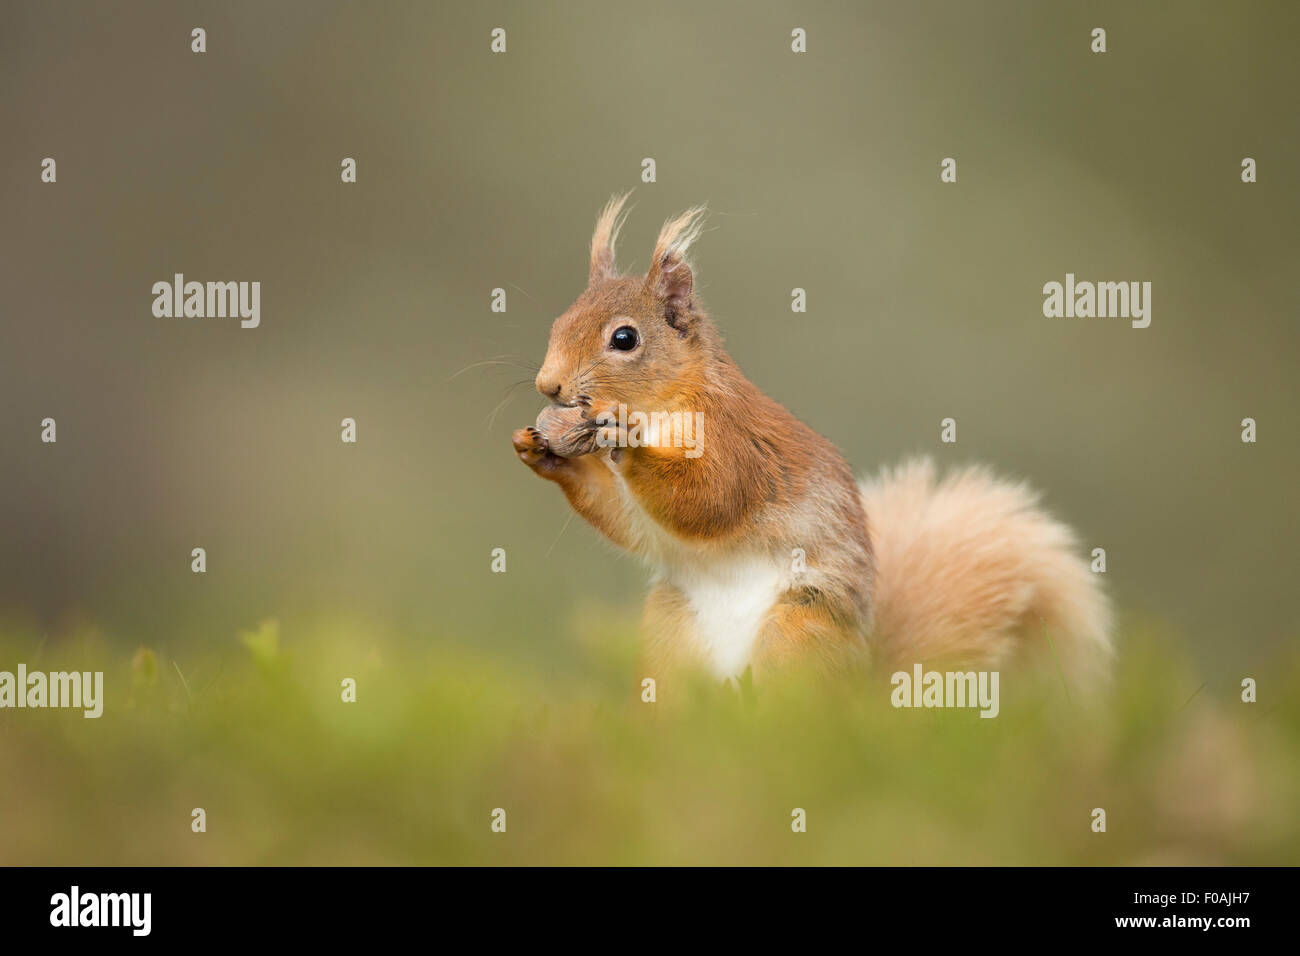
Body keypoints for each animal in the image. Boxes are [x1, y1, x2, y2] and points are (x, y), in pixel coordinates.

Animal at [512, 195, 1112, 686]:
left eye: (624, 338)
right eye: (559, 321)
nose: (548, 385)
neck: (666, 401)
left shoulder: (733, 439)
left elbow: (709, 499)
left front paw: (625, 440)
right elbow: (627, 520)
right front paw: (536, 448)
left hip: (798, 629)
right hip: (670, 628)